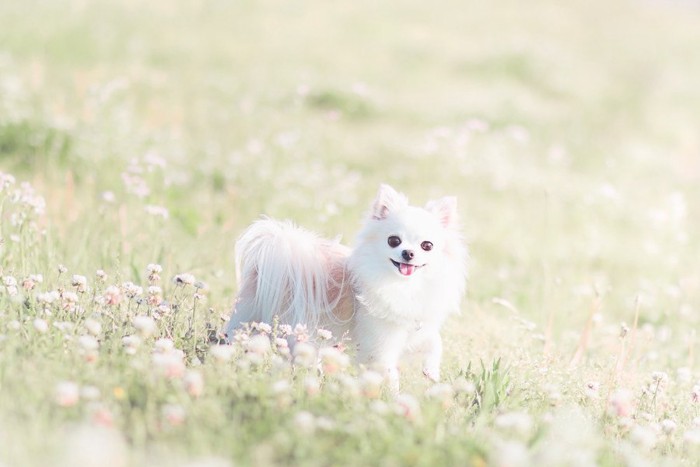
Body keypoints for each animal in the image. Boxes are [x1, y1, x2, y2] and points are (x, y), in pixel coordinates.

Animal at [224, 183, 464, 392]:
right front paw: (394, 400)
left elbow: (435, 342)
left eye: (427, 246)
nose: (408, 253)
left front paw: (431, 371)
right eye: (394, 241)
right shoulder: (380, 346)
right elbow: (389, 373)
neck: (405, 287)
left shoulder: (417, 327)